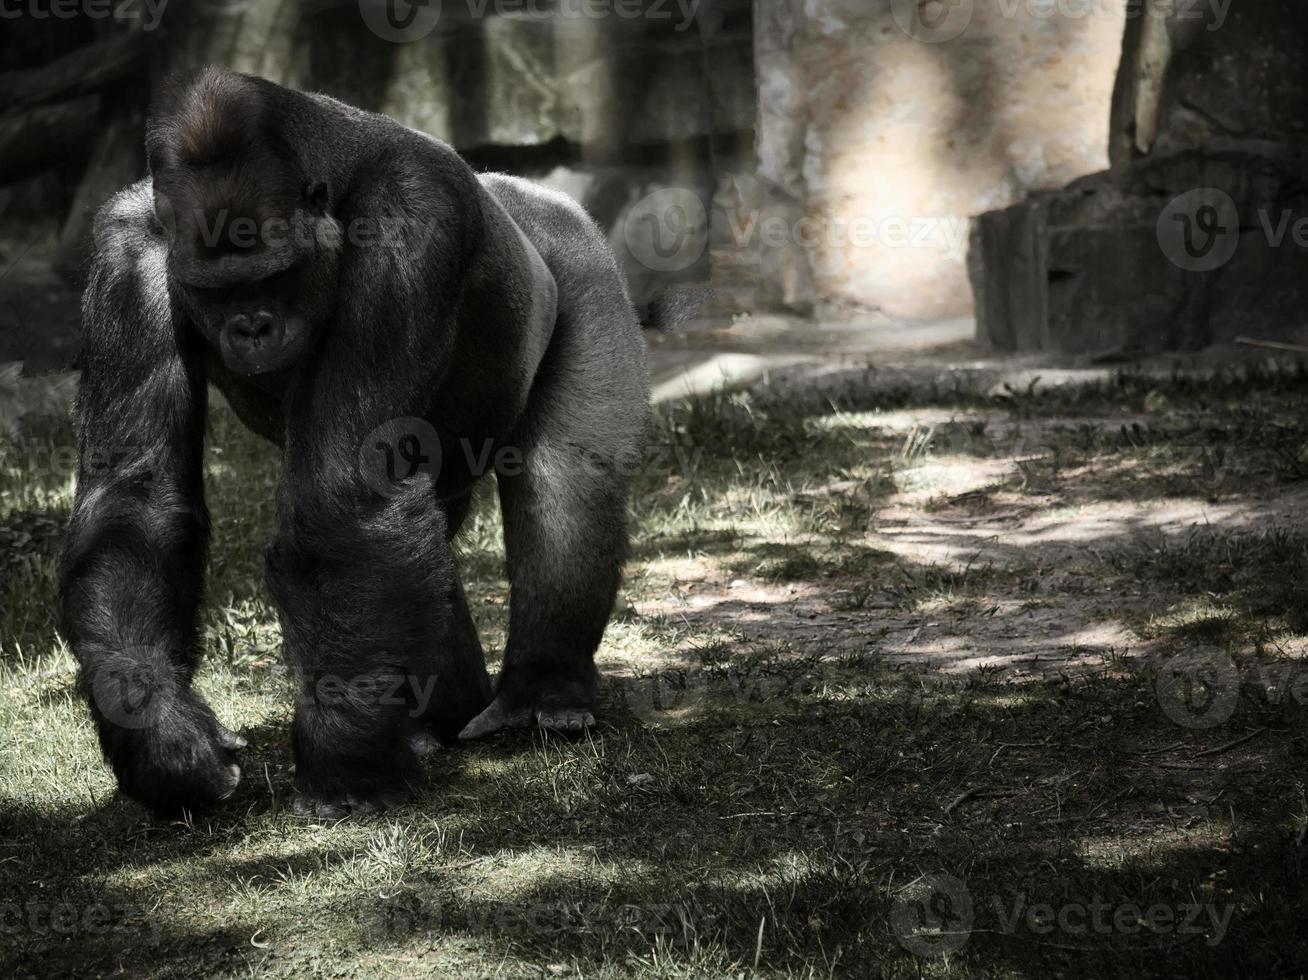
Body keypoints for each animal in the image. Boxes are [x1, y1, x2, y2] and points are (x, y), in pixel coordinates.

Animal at [60, 68, 654, 816]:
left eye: (273, 278)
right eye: (216, 292)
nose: (251, 328)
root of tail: (517, 186)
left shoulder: (412, 219)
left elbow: (346, 499)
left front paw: (344, 764)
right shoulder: (128, 253)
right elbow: (136, 497)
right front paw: (160, 734)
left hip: (580, 252)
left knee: (565, 477)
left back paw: (544, 686)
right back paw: (436, 716)